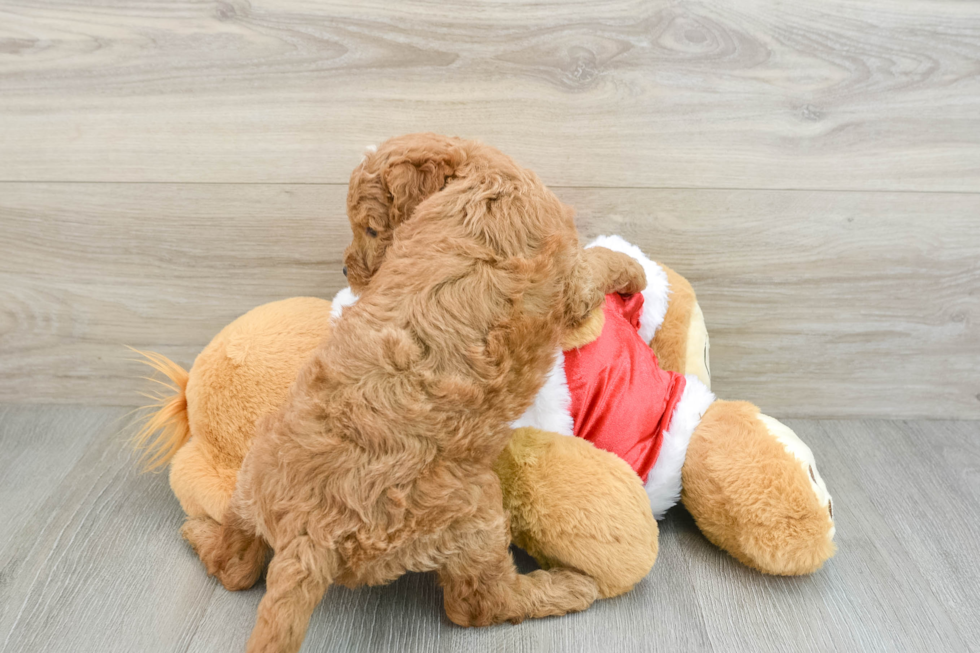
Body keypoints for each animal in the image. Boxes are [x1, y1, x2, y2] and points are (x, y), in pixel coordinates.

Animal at [181, 134, 648, 652]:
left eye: (369, 228)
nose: (345, 270)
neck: (479, 174)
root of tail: (310, 530)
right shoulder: (570, 285)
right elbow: (596, 263)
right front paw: (633, 265)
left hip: (253, 476)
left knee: (235, 565)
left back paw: (199, 532)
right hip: (471, 513)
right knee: (478, 604)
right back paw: (565, 587)